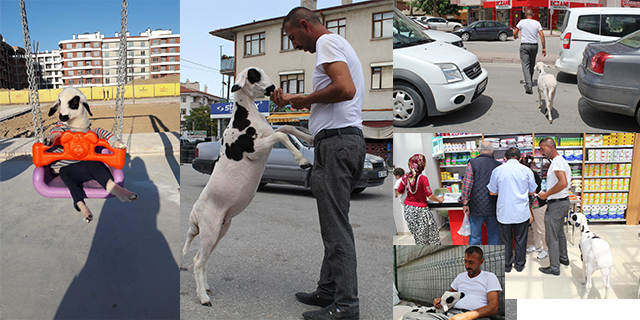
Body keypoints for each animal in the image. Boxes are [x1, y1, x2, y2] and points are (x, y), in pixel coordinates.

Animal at [46, 87, 139, 222]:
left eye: (74, 102)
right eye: (59, 102)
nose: (62, 116)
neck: (77, 126)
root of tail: (84, 177)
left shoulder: (93, 132)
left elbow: (101, 131)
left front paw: (119, 144)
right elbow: (56, 134)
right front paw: (49, 139)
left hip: (95, 167)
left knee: (106, 180)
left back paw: (127, 194)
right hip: (66, 175)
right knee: (75, 192)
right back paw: (86, 213)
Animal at [180, 67, 312, 304]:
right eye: (254, 75)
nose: (274, 88)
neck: (247, 116)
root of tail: (193, 215)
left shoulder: (268, 135)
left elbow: (286, 127)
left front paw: (310, 137)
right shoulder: (256, 149)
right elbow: (281, 134)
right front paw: (302, 160)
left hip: (220, 231)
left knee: (204, 260)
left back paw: (206, 288)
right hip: (209, 231)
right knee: (197, 260)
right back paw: (203, 297)